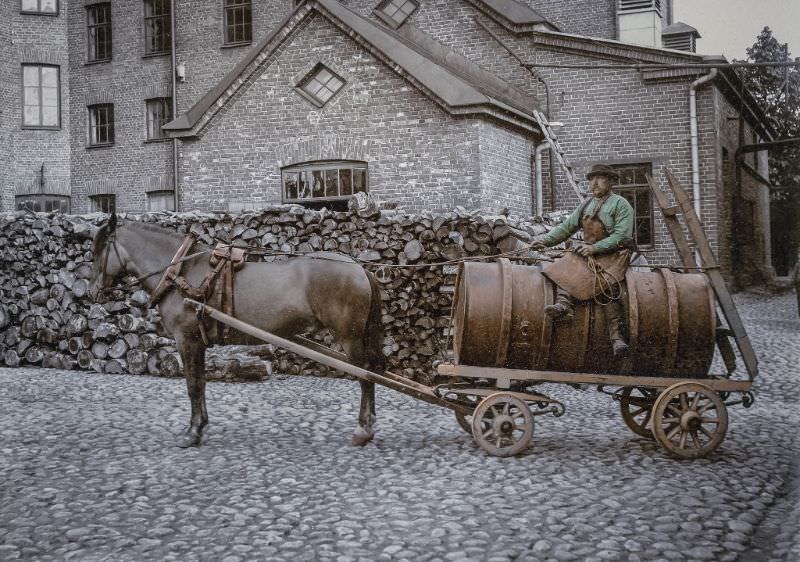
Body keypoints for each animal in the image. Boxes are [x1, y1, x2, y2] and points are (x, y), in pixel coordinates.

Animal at [89, 213, 386, 446]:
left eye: (99, 250)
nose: (93, 291)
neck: (182, 273)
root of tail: (359, 268)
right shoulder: (198, 342)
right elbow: (201, 383)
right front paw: (201, 426)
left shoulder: (187, 340)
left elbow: (192, 386)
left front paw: (192, 433)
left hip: (350, 337)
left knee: (365, 374)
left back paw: (363, 429)